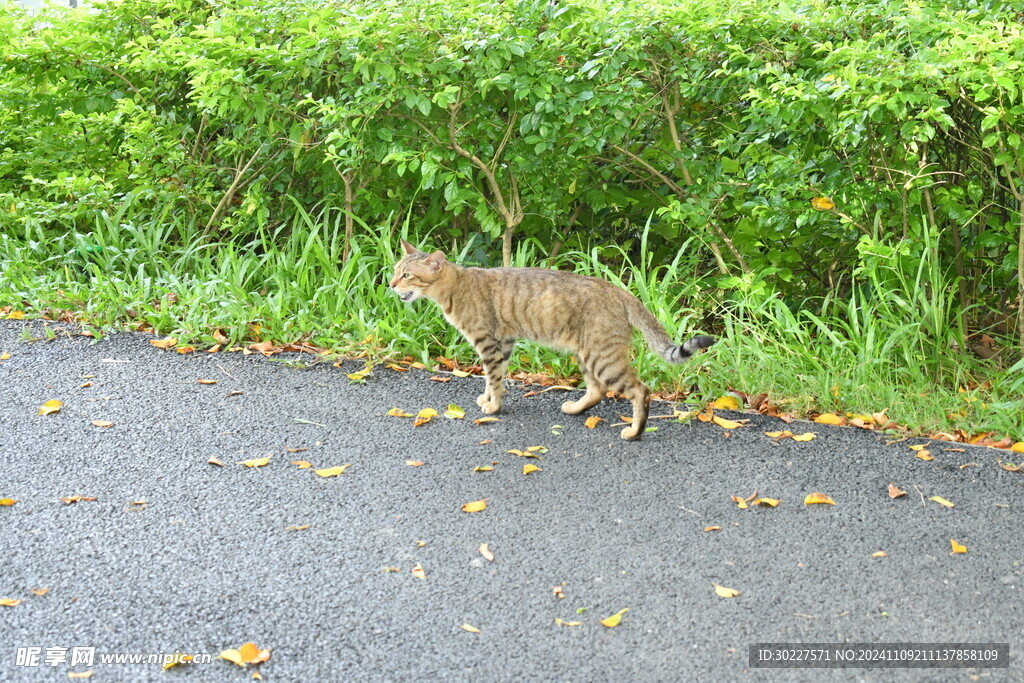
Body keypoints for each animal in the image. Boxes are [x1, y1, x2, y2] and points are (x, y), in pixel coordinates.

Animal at [387, 240, 716, 440]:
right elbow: (495, 378)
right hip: (587, 354)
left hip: (602, 357)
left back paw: (634, 432)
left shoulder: (488, 342)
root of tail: (620, 290)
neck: (455, 287)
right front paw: (490, 398)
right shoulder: (504, 342)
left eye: (407, 275)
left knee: (639, 390)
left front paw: (493, 407)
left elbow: (491, 376)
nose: (389, 284)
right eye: (395, 271)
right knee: (597, 390)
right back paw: (575, 409)